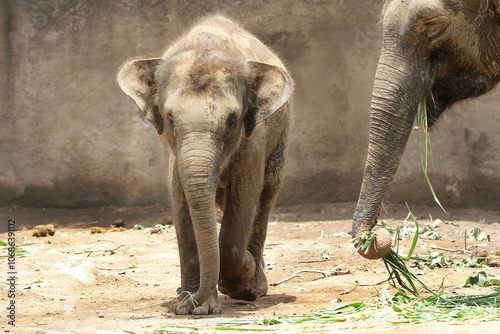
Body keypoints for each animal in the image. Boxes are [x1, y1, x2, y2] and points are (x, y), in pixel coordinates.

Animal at [117, 16, 292, 316]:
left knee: (267, 194)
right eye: (170, 119)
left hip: (281, 138)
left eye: (232, 121)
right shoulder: (172, 149)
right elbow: (180, 196)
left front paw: (238, 280)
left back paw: (255, 286)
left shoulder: (254, 137)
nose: (190, 301)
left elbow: (246, 193)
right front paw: (192, 308)